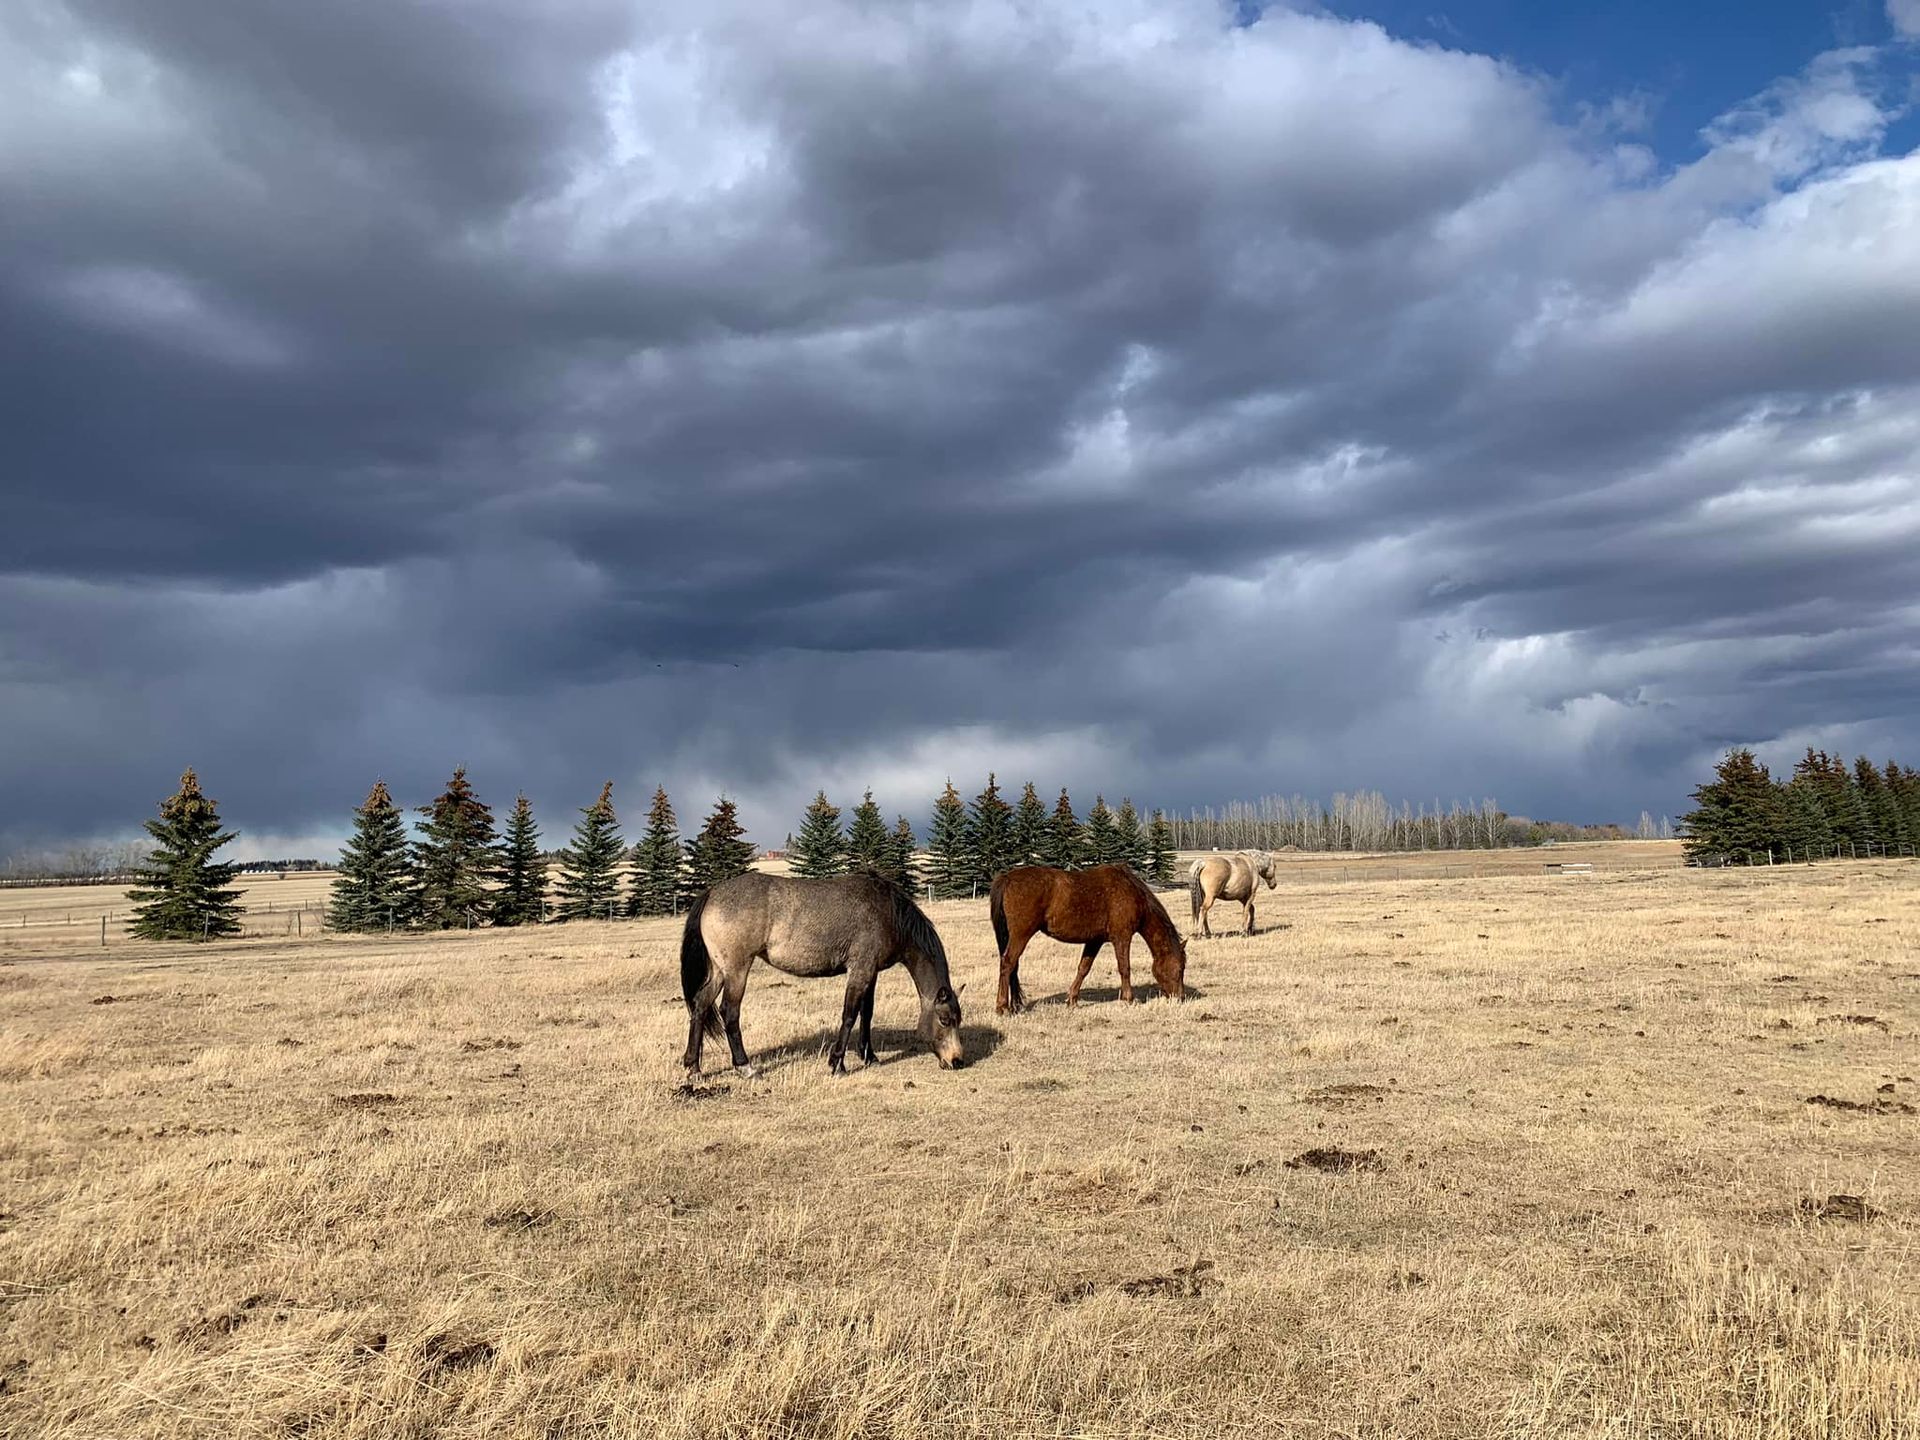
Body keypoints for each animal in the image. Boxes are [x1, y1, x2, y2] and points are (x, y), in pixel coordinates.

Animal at [679, 871, 964, 1077]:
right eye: (945, 1020)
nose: (957, 1061)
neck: (888, 913)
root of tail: (712, 892)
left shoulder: (871, 973)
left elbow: (867, 1013)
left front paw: (869, 1056)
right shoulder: (860, 971)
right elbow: (849, 1015)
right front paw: (837, 1064)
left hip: (719, 971)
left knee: (701, 1005)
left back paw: (694, 1068)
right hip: (737, 970)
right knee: (729, 1012)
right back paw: (745, 1067)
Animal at [988, 864, 1187, 1014]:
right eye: (1179, 969)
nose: (1181, 998)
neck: (1130, 891)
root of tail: (1007, 878)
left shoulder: (1094, 941)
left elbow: (1083, 969)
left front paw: (1072, 999)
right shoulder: (1122, 937)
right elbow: (1124, 968)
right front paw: (1129, 999)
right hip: (1021, 935)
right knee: (1008, 963)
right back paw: (1002, 1007)